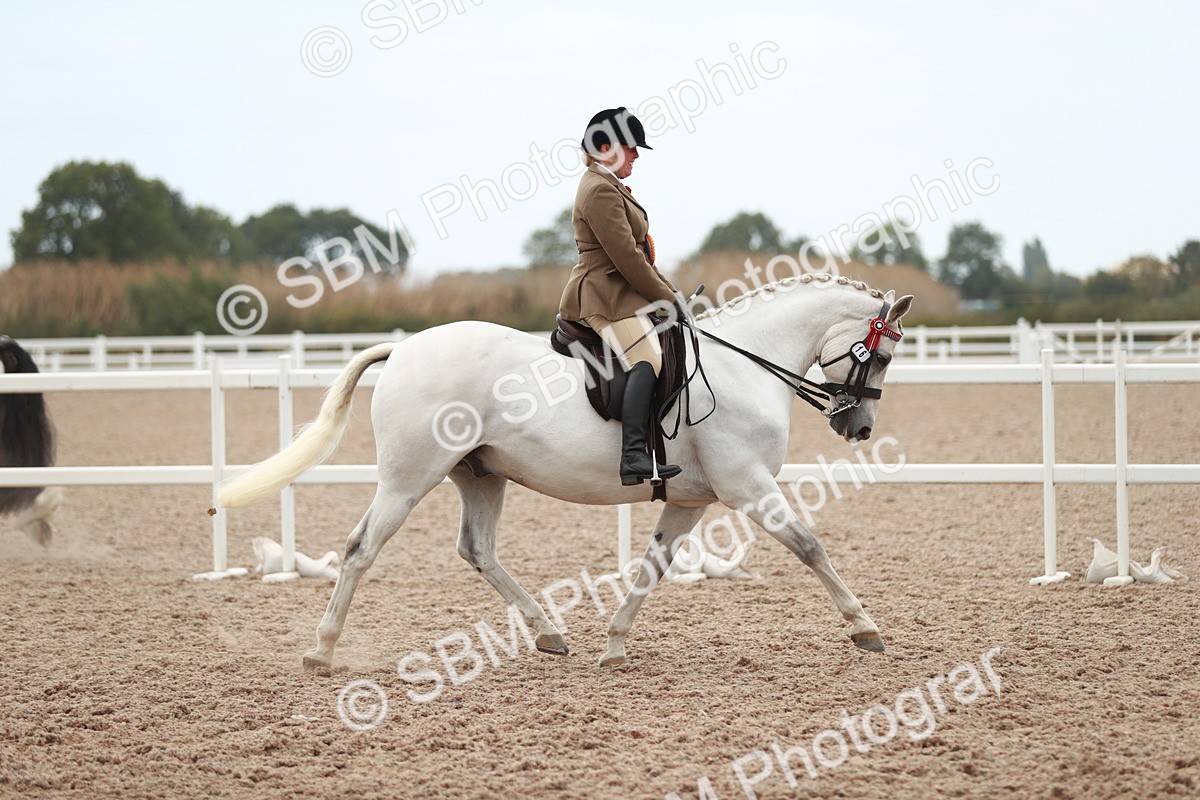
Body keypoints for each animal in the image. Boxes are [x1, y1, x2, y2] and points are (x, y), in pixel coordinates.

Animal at [217, 274, 914, 669]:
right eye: (880, 354)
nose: (858, 428)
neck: (746, 365)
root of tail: (406, 347)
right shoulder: (749, 488)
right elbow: (810, 546)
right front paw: (867, 629)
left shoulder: (691, 500)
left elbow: (652, 567)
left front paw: (614, 643)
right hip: (407, 479)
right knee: (361, 549)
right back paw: (321, 650)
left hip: (480, 475)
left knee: (478, 549)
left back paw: (550, 634)